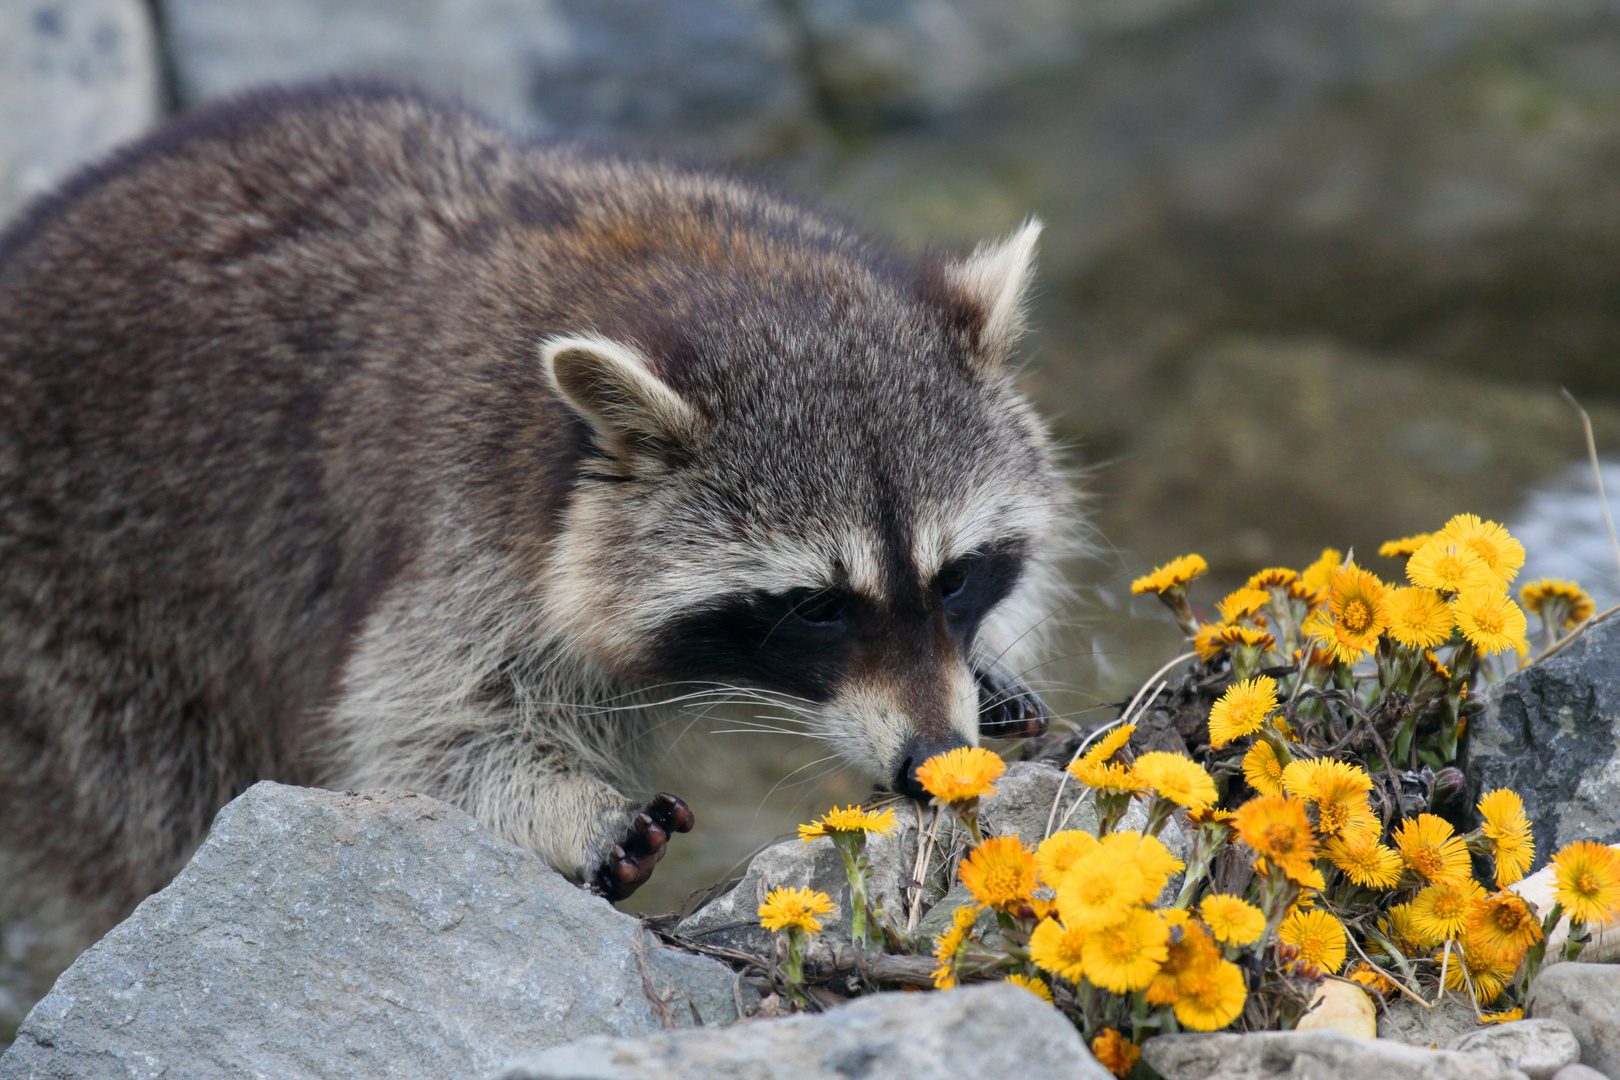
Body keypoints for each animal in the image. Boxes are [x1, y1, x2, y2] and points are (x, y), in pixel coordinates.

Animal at [0, 86, 1069, 919]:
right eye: (815, 605)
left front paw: (988, 663)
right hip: (86, 627)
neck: (688, 270)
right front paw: (566, 810)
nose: (933, 762)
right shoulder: (465, 516)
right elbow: (415, 742)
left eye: (955, 577)